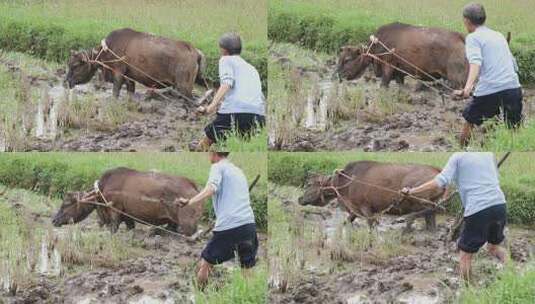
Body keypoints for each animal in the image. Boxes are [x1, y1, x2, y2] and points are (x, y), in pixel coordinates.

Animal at [51, 166, 205, 235]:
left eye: (66, 204)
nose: (54, 220)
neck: (102, 189)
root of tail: (191, 184)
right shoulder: (128, 217)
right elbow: (130, 227)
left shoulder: (115, 212)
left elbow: (113, 227)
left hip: (187, 223)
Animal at [66, 27, 207, 98]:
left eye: (75, 65)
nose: (67, 81)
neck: (107, 49)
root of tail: (195, 50)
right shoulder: (130, 79)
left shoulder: (118, 73)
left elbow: (115, 92)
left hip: (184, 86)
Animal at [300, 160, 446, 229]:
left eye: (309, 184)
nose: (299, 198)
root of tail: (438, 171)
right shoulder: (355, 209)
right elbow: (347, 221)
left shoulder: (365, 207)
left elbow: (371, 224)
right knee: (431, 218)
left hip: (420, 199)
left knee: (432, 209)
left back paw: (408, 222)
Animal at [340, 22, 468, 89]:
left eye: (347, 59)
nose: (336, 75)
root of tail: (459, 36)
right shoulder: (399, 74)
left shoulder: (388, 67)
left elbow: (383, 84)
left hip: (456, 79)